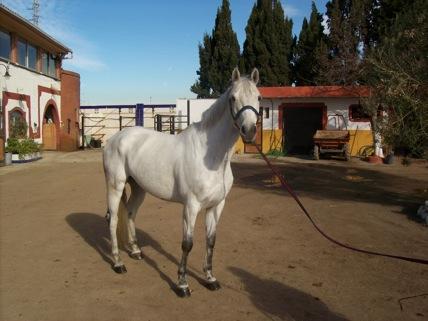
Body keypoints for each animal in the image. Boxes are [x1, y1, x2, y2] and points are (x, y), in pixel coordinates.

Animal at [103, 67, 260, 296]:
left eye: (259, 97)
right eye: (233, 98)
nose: (249, 130)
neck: (211, 157)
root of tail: (114, 139)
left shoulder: (216, 206)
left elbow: (211, 241)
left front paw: (210, 279)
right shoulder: (191, 206)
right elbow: (187, 244)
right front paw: (182, 284)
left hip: (139, 188)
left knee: (130, 213)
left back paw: (136, 251)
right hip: (115, 186)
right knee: (113, 220)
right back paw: (118, 263)